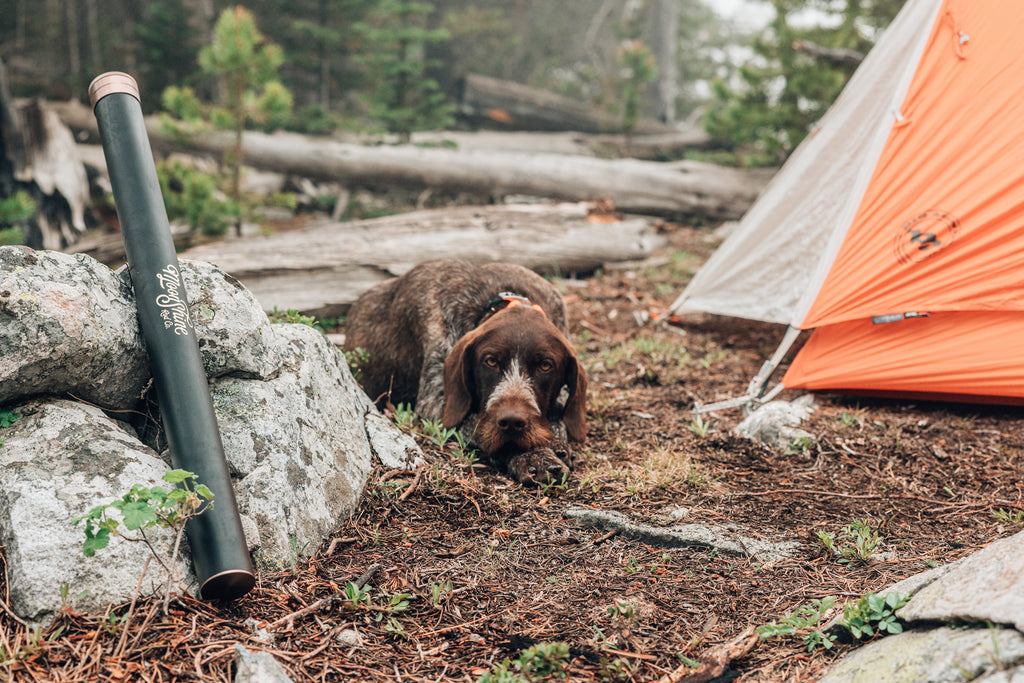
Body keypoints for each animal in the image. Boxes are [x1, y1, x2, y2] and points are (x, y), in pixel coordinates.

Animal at [342, 259, 589, 483]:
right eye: (490, 361)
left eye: (545, 365)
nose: (511, 421)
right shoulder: (436, 404)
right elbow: (476, 424)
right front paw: (533, 455)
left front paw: (552, 442)